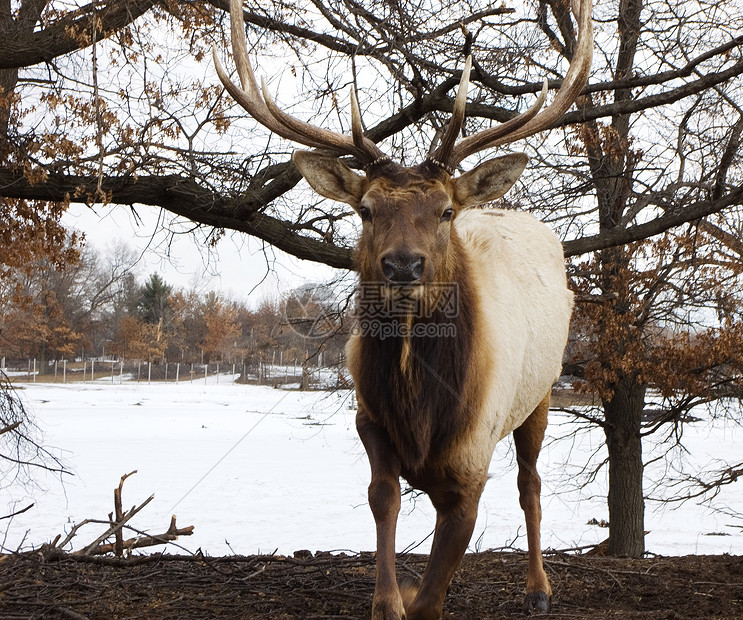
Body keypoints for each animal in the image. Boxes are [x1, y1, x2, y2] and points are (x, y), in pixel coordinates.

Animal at [214, 1, 592, 616]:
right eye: (366, 209)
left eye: (444, 211)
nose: (403, 267)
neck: (421, 409)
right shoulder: (369, 419)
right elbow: (383, 501)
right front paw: (388, 600)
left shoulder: (473, 457)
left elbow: (440, 580)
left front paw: (425, 594)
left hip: (542, 392)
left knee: (531, 483)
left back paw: (538, 589)